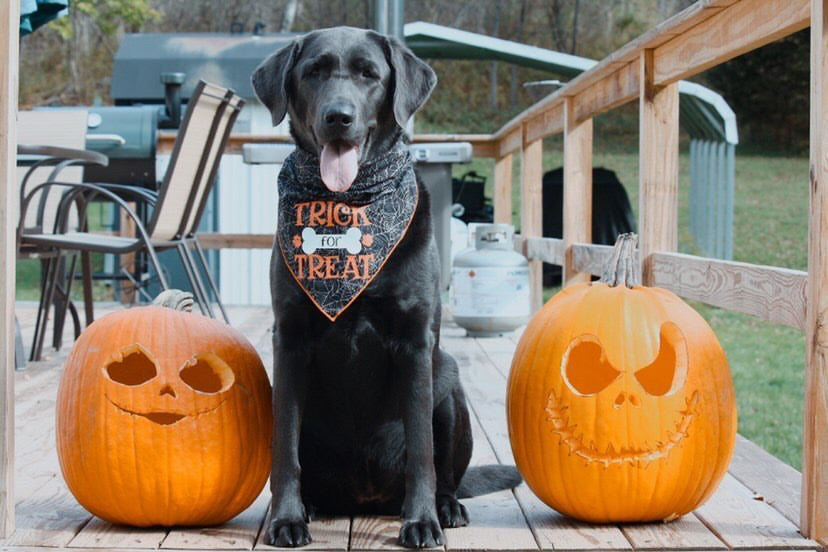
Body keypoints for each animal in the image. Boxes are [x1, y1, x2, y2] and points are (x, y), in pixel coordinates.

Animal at [251, 27, 516, 548]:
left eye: (368, 74)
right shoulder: (288, 340)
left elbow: (421, 452)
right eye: (313, 72)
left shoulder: (415, 343)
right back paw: (310, 506)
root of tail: (366, 499)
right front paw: (286, 518)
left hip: (448, 380)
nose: (338, 116)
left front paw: (422, 521)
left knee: (445, 471)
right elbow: (284, 449)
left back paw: (446, 507)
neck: (347, 207)